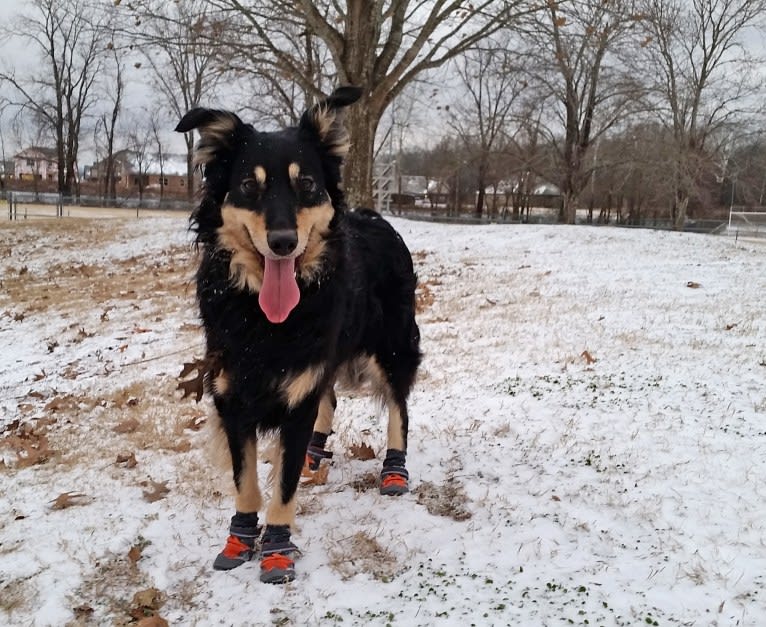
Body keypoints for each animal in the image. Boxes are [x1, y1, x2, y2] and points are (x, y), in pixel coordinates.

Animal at [176, 87, 424, 584]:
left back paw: (393, 470)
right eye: (248, 186)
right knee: (329, 401)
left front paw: (275, 550)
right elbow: (247, 483)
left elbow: (283, 488)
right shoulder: (232, 399)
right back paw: (316, 454)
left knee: (398, 408)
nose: (284, 242)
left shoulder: (296, 398)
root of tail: (377, 216)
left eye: (306, 184)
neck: (263, 317)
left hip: (392, 346)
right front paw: (239, 541)